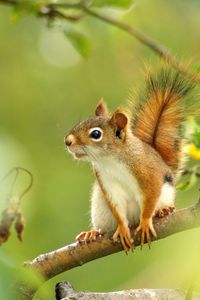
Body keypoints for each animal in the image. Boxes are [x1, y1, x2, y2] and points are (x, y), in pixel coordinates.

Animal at [65, 68, 195, 253]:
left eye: (96, 134)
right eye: (81, 122)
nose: (67, 141)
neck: (110, 160)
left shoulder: (149, 174)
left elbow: (150, 198)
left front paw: (146, 222)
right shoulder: (107, 183)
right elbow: (118, 209)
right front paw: (122, 229)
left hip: (166, 193)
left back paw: (163, 210)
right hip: (100, 207)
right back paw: (93, 233)